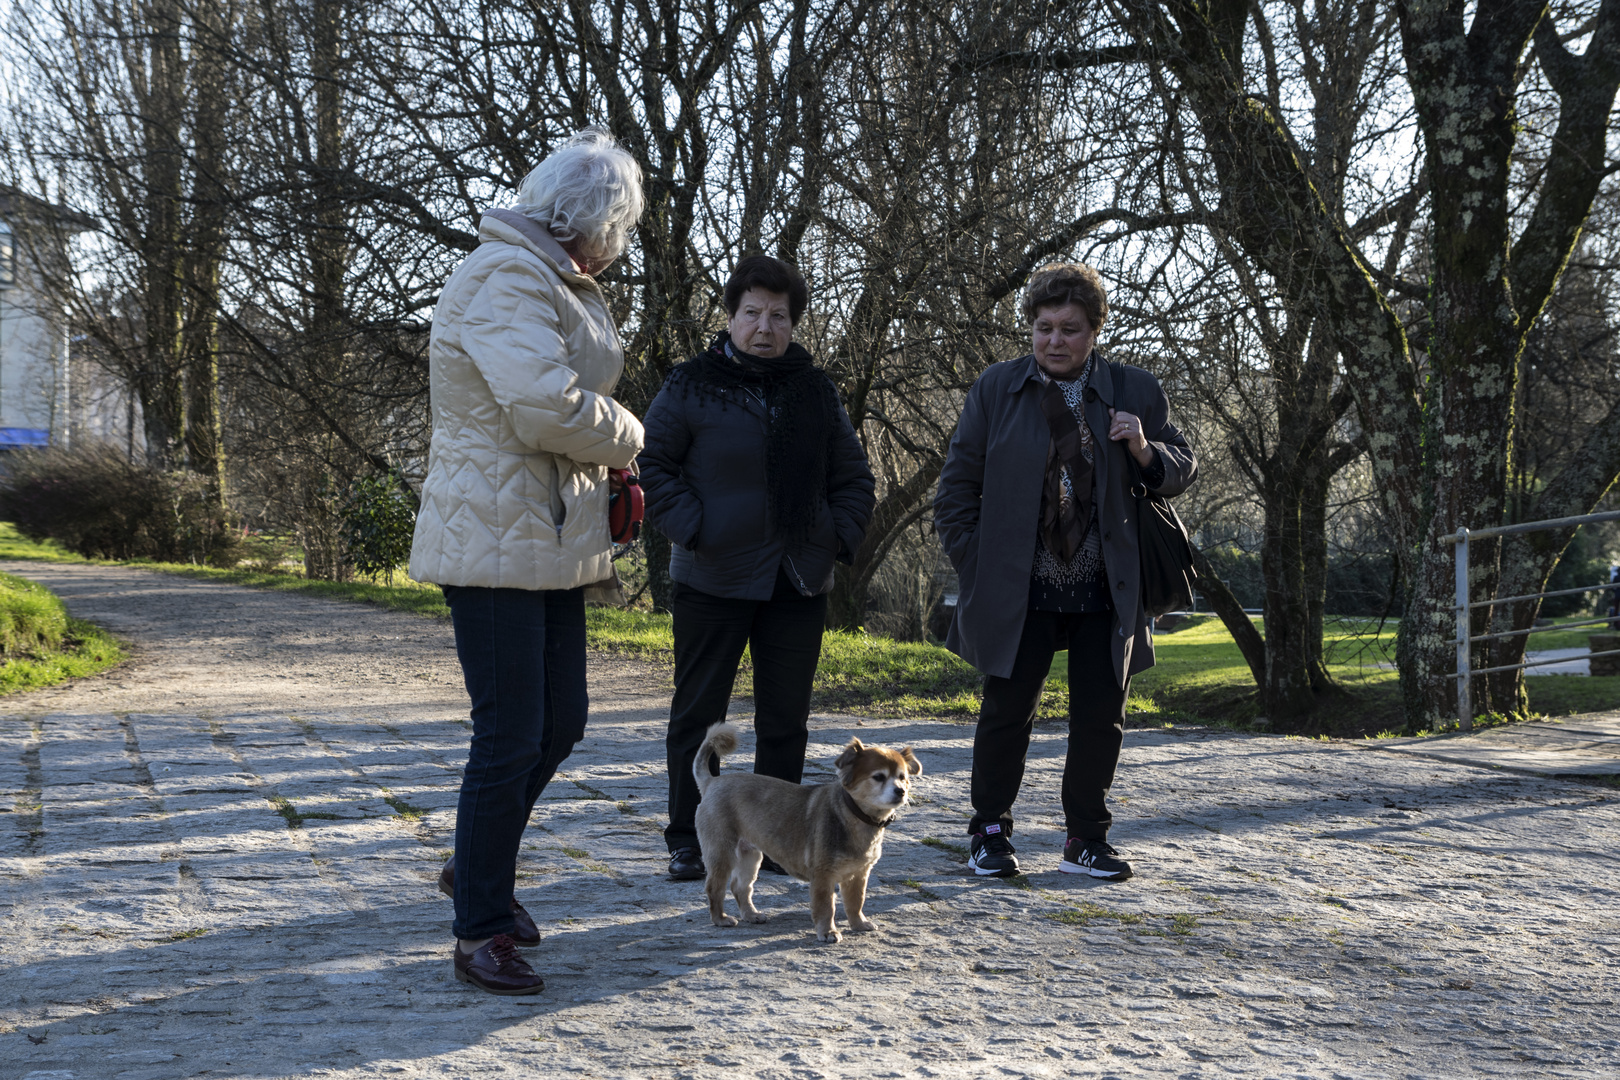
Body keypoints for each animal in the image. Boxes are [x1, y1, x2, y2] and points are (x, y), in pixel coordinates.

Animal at [693, 722, 926, 939]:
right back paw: (720, 919)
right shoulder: (823, 875)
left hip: (750, 855)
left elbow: (855, 902)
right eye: (878, 777)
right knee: (715, 887)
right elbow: (826, 907)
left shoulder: (858, 874)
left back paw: (751, 915)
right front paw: (828, 932)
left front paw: (859, 924)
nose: (901, 791)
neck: (854, 816)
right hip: (722, 852)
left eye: (903, 777)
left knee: (740, 887)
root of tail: (712, 782)